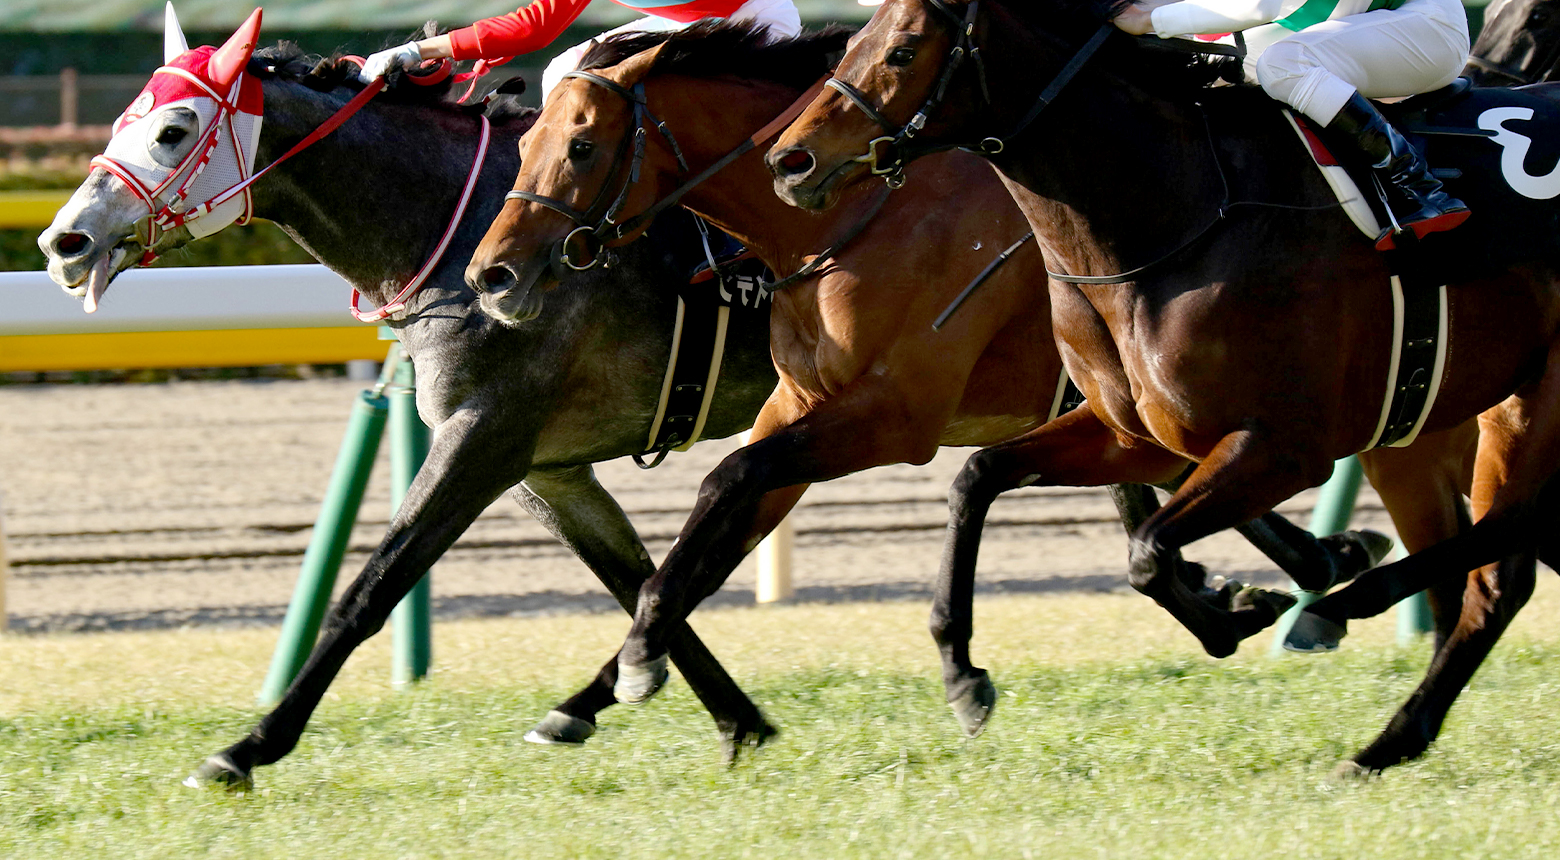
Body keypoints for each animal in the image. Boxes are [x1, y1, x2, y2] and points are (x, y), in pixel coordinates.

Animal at [38, 31, 786, 786]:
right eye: (120, 122)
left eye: (173, 129)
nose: (64, 242)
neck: (462, 231)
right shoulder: (545, 470)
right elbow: (637, 579)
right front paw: (734, 718)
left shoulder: (484, 433)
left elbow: (371, 589)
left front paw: (249, 747)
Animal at [461, 25, 1472, 739]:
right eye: (526, 141)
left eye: (581, 147)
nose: (492, 274)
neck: (843, 219)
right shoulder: (802, 408)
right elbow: (712, 537)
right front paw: (603, 686)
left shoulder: (892, 416)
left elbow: (723, 484)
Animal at [773, 0, 1560, 777]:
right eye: (859, 37)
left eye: (903, 50)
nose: (788, 161)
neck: (1175, 209)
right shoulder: (1137, 433)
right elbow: (979, 477)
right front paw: (963, 676)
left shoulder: (1283, 450)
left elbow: (1147, 551)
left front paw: (1243, 611)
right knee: (1502, 575)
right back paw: (1387, 737)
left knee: (1507, 543)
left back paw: (1350, 612)